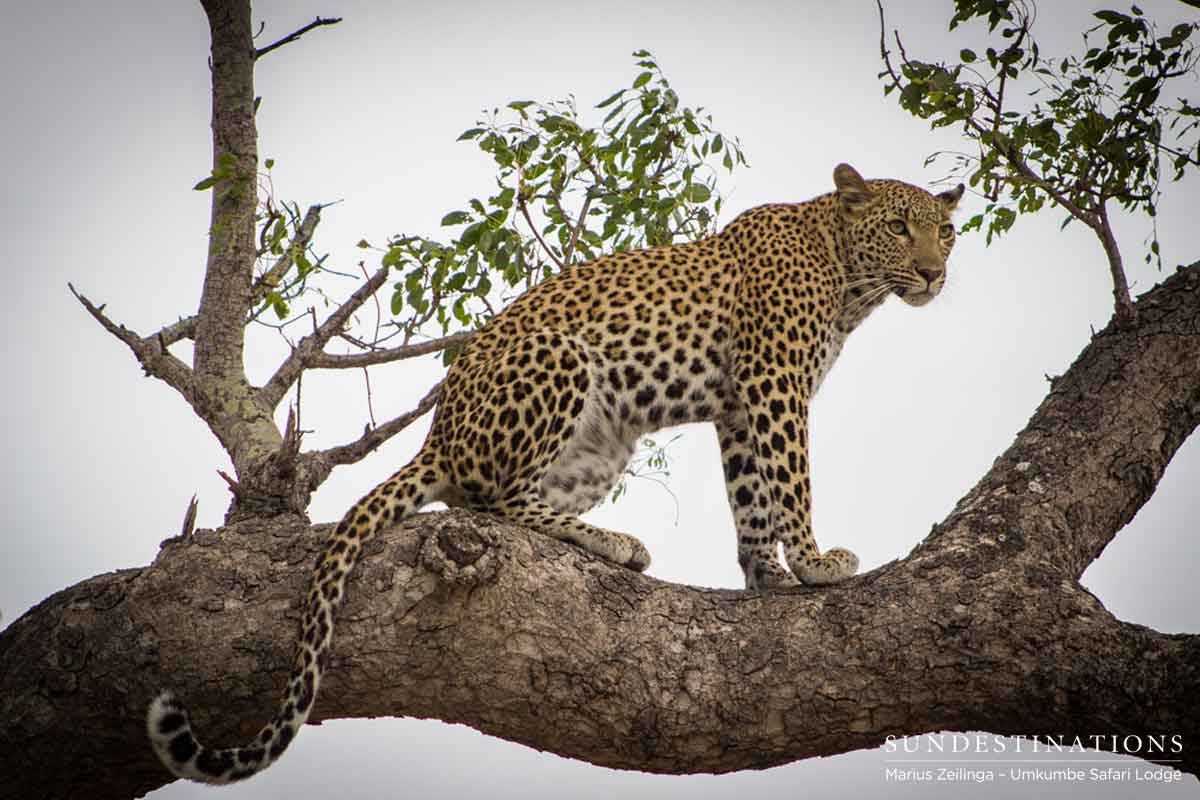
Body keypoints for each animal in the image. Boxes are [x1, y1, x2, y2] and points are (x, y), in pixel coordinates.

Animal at [147, 163, 963, 783]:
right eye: (899, 227)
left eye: (945, 230)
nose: (934, 273)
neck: (849, 278)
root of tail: (438, 437)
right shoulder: (773, 384)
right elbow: (791, 479)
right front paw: (819, 563)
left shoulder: (739, 406)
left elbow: (751, 495)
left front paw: (767, 574)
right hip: (564, 357)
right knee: (497, 503)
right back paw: (612, 543)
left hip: (604, 447)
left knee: (498, 505)